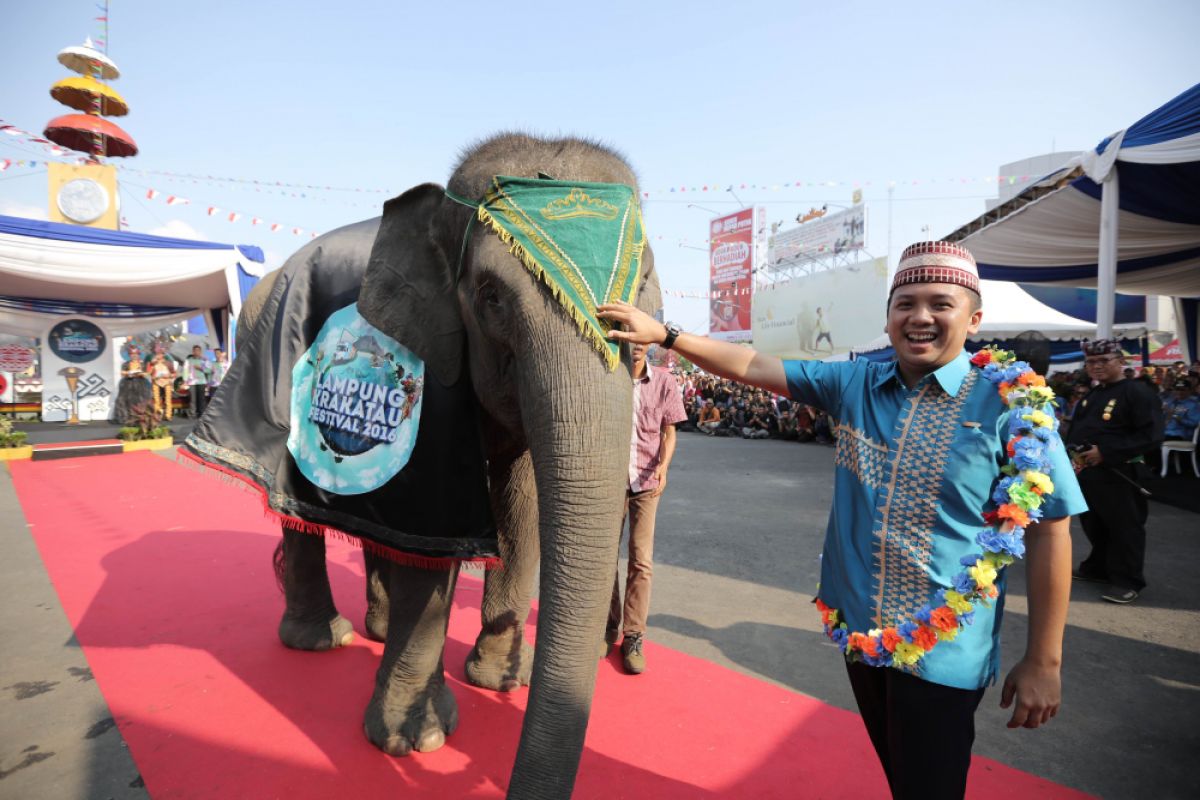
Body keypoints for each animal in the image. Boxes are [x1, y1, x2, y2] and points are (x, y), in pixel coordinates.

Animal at [224, 134, 657, 796]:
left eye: (643, 286)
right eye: (490, 297)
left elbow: (522, 505)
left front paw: (498, 682)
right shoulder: (422, 361)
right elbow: (433, 531)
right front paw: (415, 741)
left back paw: (374, 631)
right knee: (303, 512)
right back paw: (321, 640)